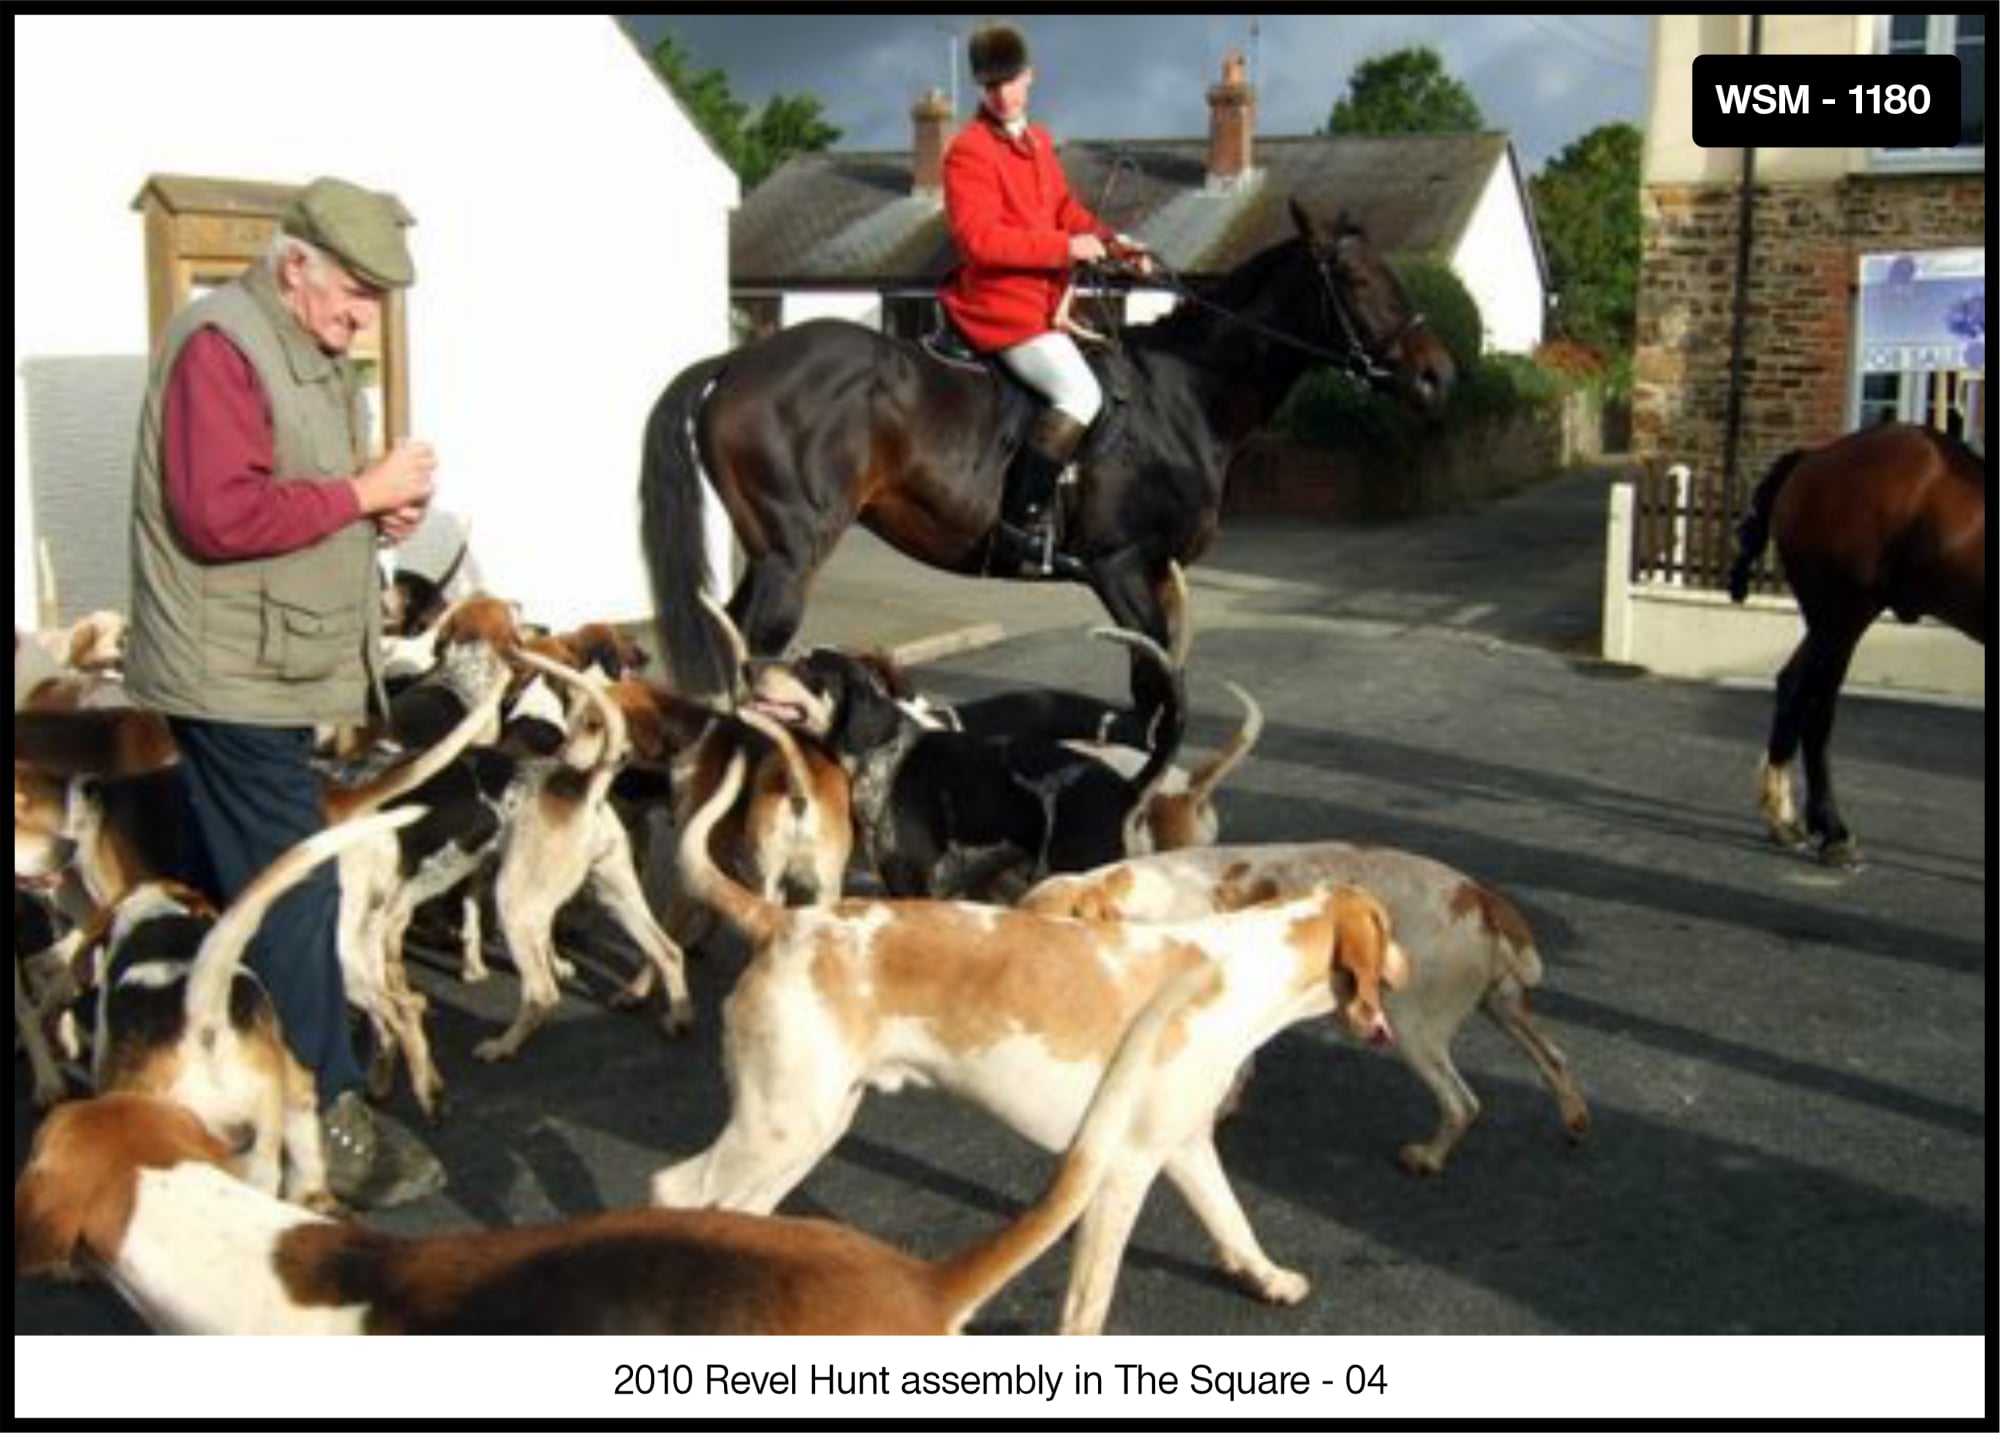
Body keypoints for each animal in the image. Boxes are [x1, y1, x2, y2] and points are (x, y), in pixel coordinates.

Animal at [640, 201, 1456, 716]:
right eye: (1356, 280)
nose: (1437, 374)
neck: (1182, 393)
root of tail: (737, 362)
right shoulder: (1119, 565)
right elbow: (1159, 692)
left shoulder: (1159, 575)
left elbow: (1156, 688)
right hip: (790, 555)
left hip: (769, 556)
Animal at [1728, 420, 1992, 868]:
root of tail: (1817, 456)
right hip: (1844, 614)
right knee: (1817, 706)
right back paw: (1833, 832)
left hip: (1829, 620)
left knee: (1792, 687)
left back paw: (1783, 817)